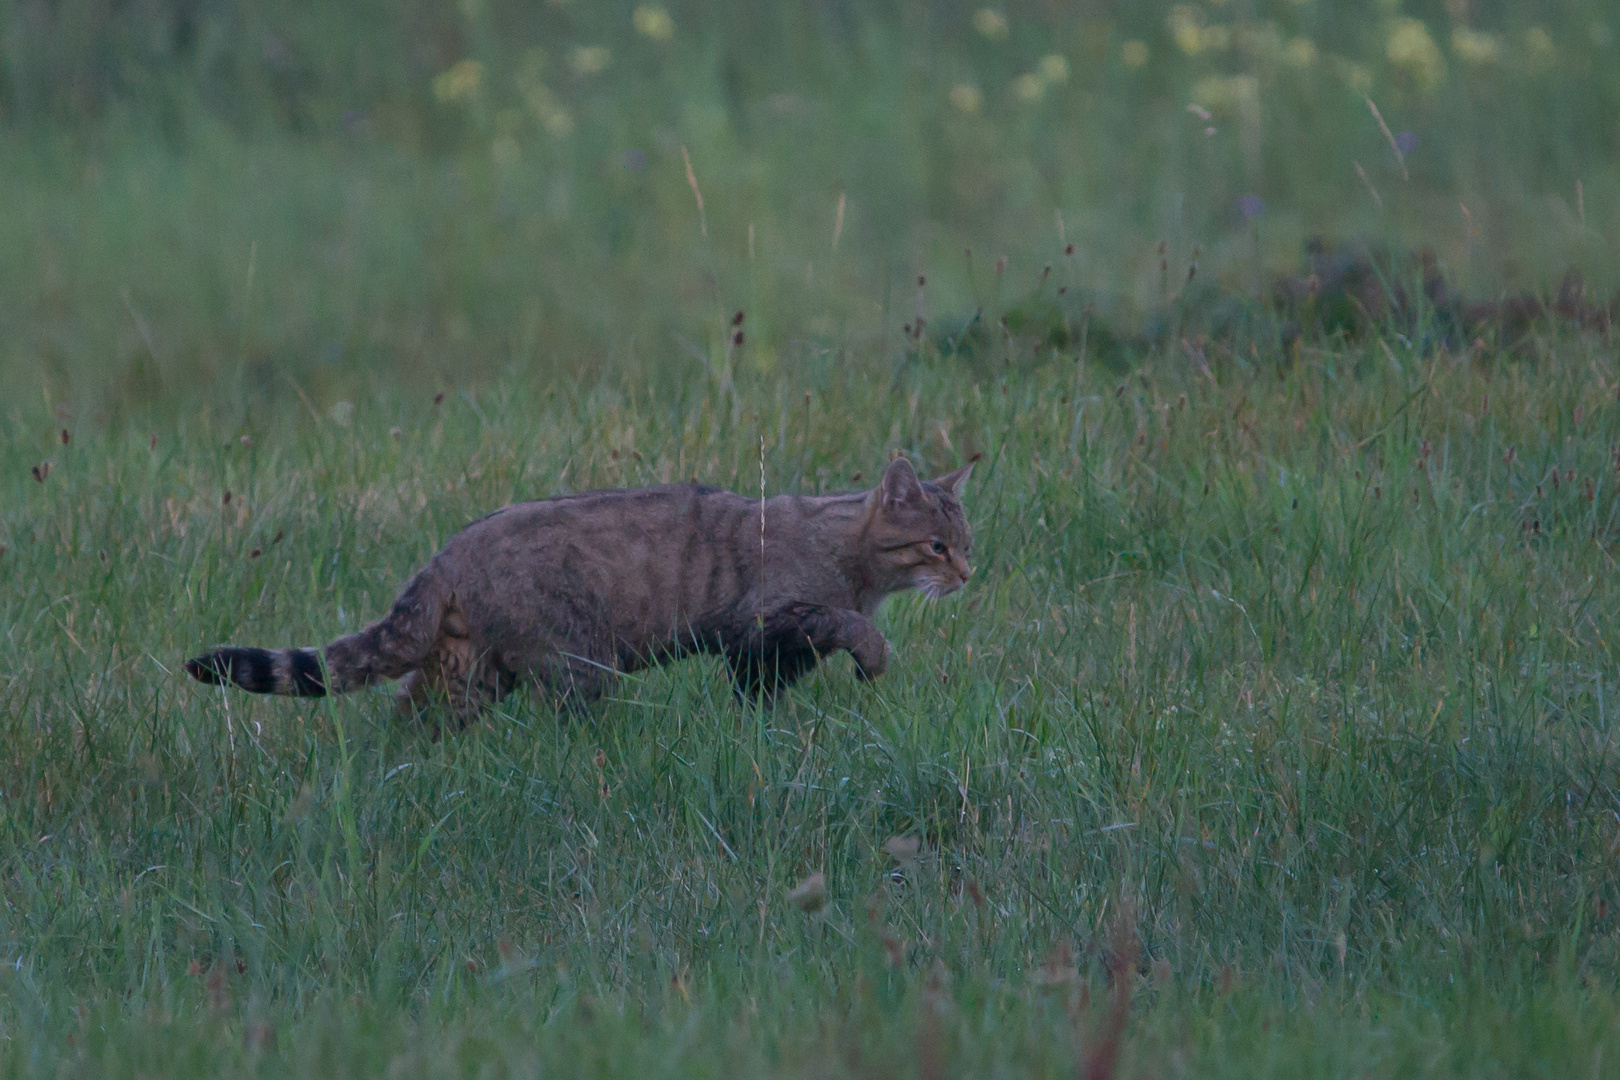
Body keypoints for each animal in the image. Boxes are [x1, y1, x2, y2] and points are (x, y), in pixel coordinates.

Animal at [189, 453, 972, 722]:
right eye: (937, 545)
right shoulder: (773, 619)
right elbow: (852, 628)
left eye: (968, 544)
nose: (968, 574)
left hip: (468, 672)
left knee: (406, 717)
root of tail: (446, 555)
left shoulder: (763, 653)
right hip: (575, 665)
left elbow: (760, 697)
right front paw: (874, 655)